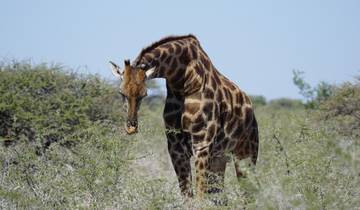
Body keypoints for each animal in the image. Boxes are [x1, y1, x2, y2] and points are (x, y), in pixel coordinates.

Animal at [109, 34, 258, 200]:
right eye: (121, 92)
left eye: (144, 94)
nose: (131, 127)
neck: (181, 82)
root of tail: (251, 110)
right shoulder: (176, 148)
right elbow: (188, 196)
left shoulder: (202, 145)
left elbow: (200, 197)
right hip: (220, 159)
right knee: (221, 197)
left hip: (245, 155)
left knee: (250, 194)